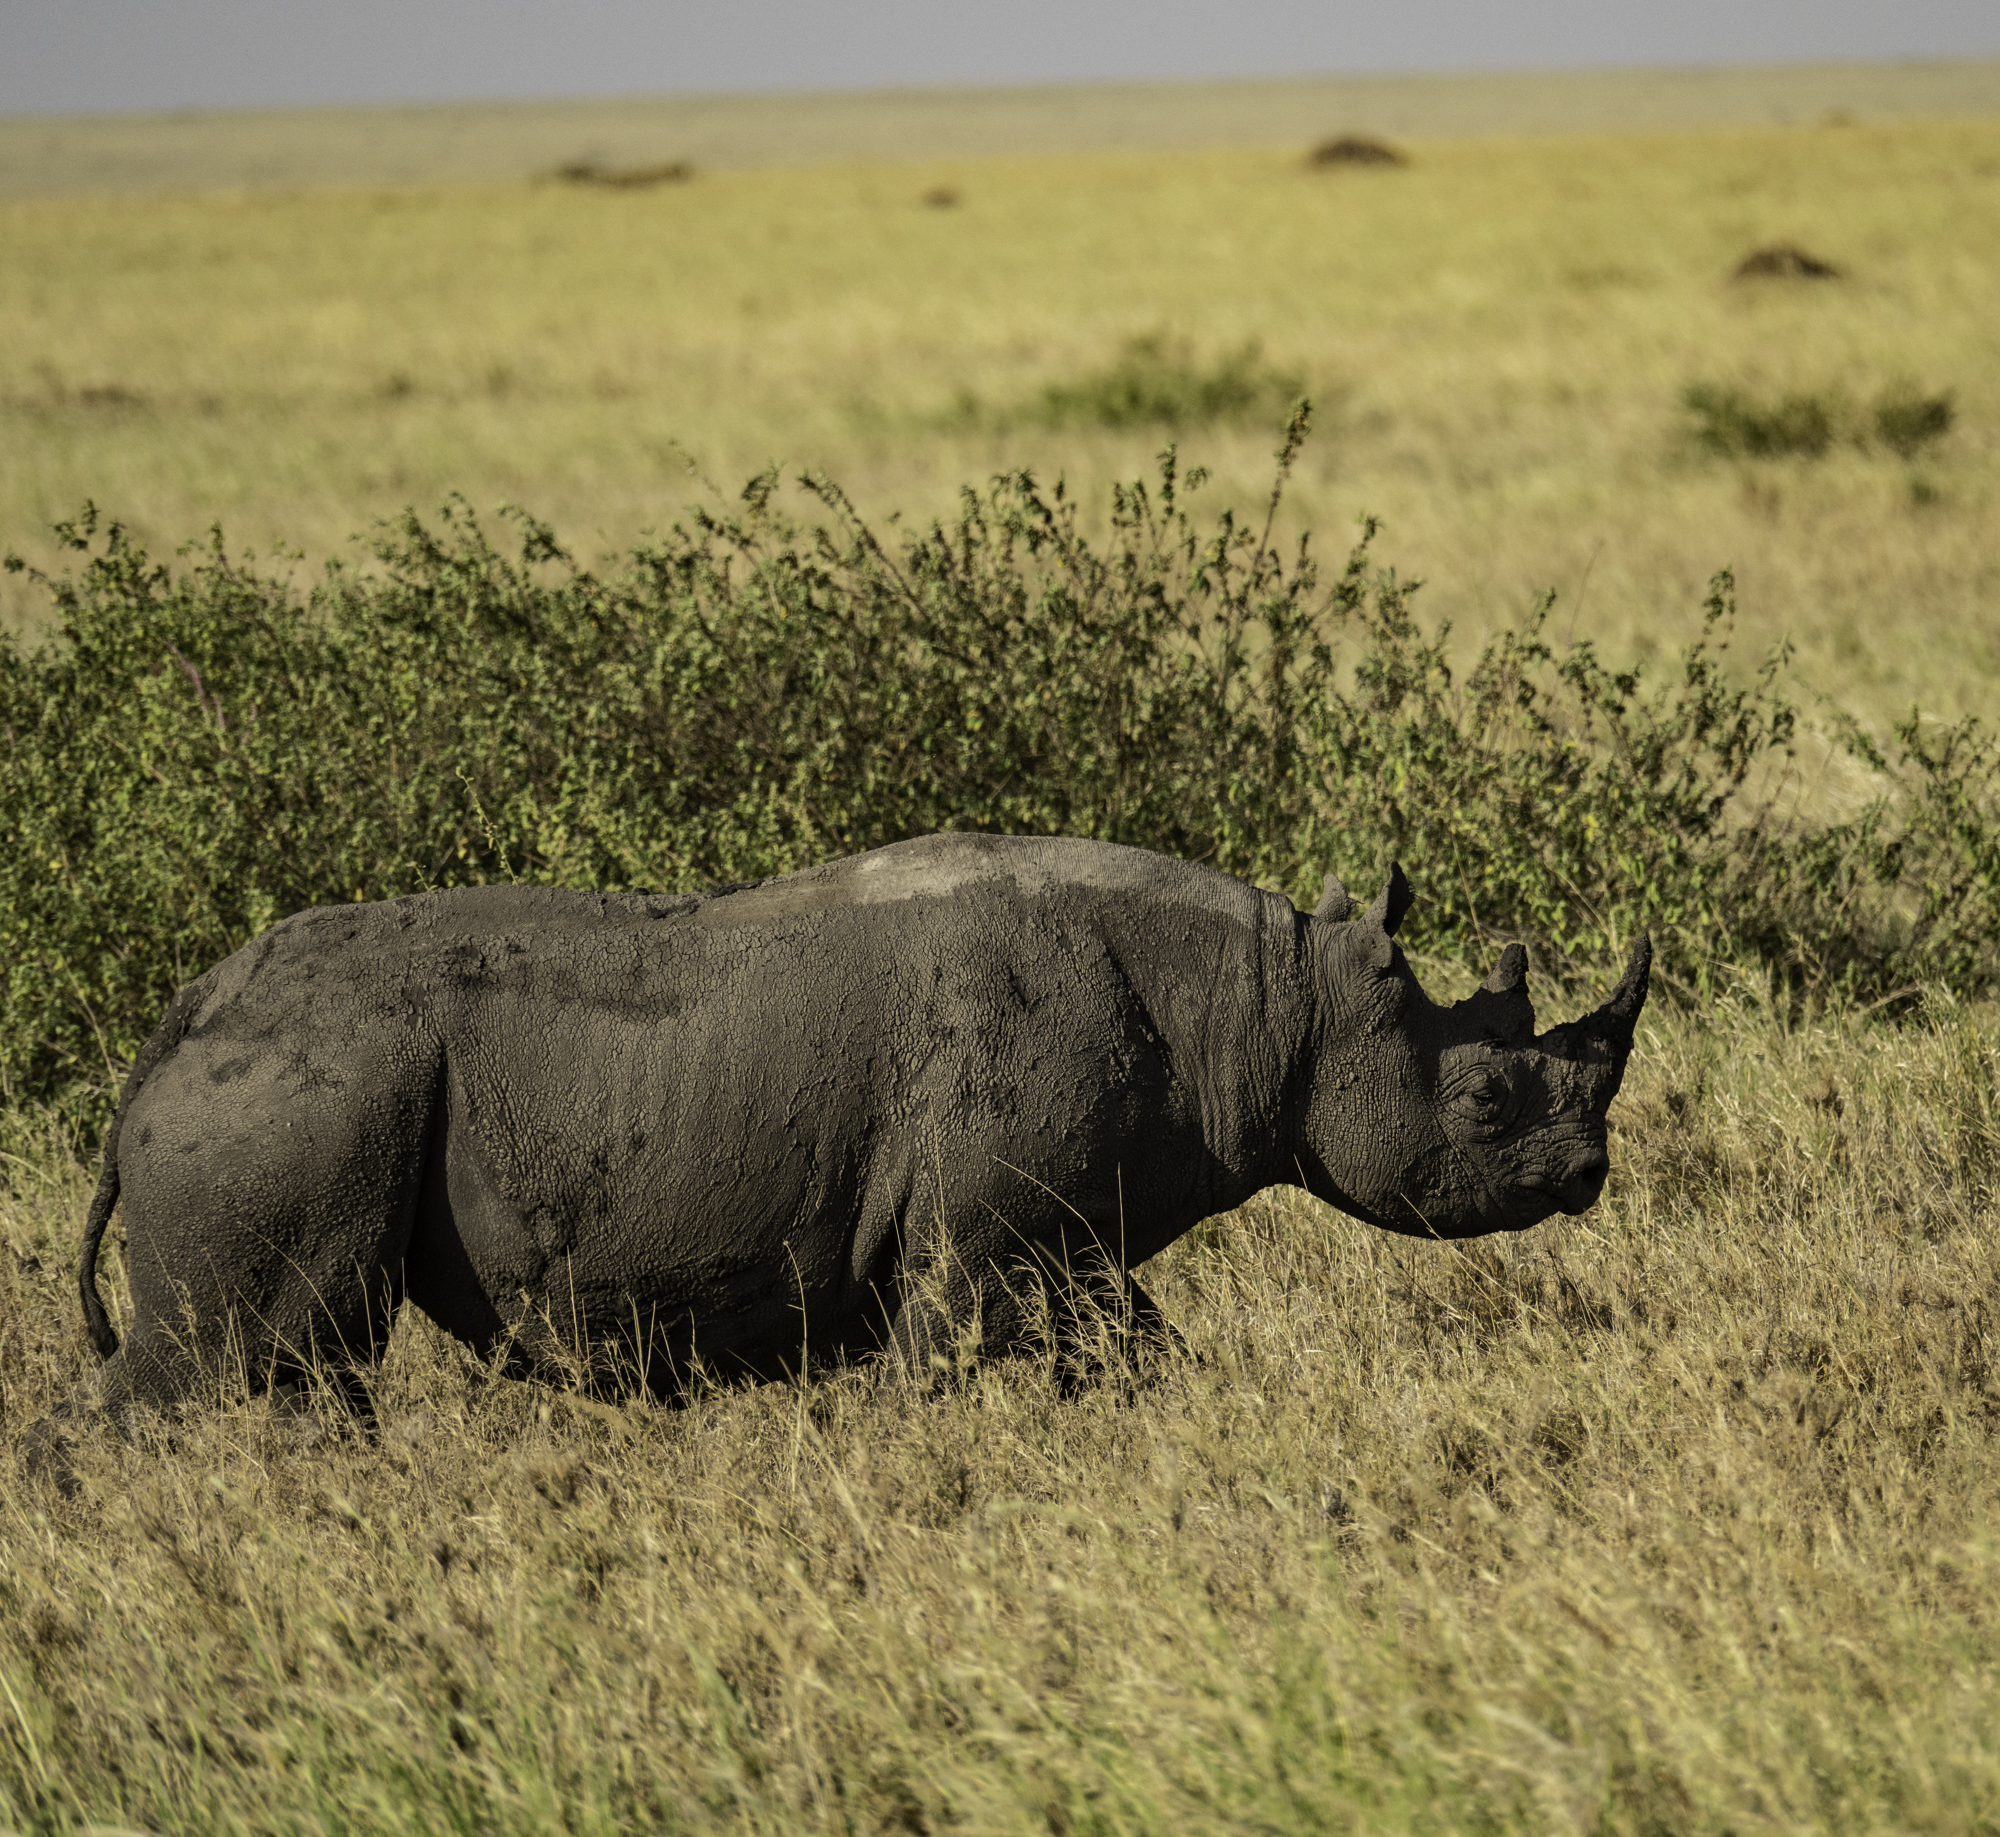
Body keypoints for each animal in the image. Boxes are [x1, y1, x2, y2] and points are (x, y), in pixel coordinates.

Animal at [40, 833, 1649, 1438]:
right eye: (1486, 1101)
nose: (1585, 1178)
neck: (1273, 1002)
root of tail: (159, 1050)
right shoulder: (980, 1237)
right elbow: (954, 1364)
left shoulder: (1063, 1235)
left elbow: (1136, 1349)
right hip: (300, 1093)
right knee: (228, 1360)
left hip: (296, 1092)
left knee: (288, 1368)